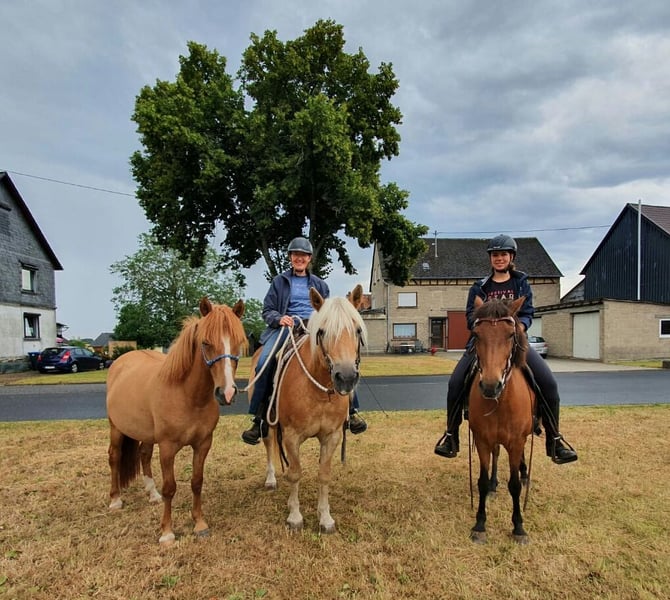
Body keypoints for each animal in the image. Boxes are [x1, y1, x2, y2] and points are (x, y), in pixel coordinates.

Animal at [106, 297, 246, 545]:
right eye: (205, 342)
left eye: (238, 342)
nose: (227, 393)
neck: (188, 396)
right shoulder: (168, 447)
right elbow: (170, 488)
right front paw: (167, 532)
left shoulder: (203, 444)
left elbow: (197, 482)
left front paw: (199, 523)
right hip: (116, 428)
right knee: (115, 457)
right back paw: (115, 500)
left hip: (146, 433)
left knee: (144, 455)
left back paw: (152, 494)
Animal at [254, 284, 366, 533]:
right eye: (322, 331)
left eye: (357, 330)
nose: (346, 377)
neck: (319, 391)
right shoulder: (291, 436)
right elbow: (295, 474)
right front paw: (295, 517)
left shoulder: (332, 436)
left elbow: (323, 475)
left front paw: (325, 518)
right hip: (268, 422)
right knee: (268, 443)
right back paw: (270, 479)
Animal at [467, 295, 536, 544]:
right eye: (477, 334)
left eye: (510, 334)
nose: (490, 385)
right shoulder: (483, 440)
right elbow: (482, 481)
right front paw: (479, 525)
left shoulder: (516, 441)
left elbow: (514, 485)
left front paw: (519, 527)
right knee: (497, 456)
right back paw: (495, 484)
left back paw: (525, 474)